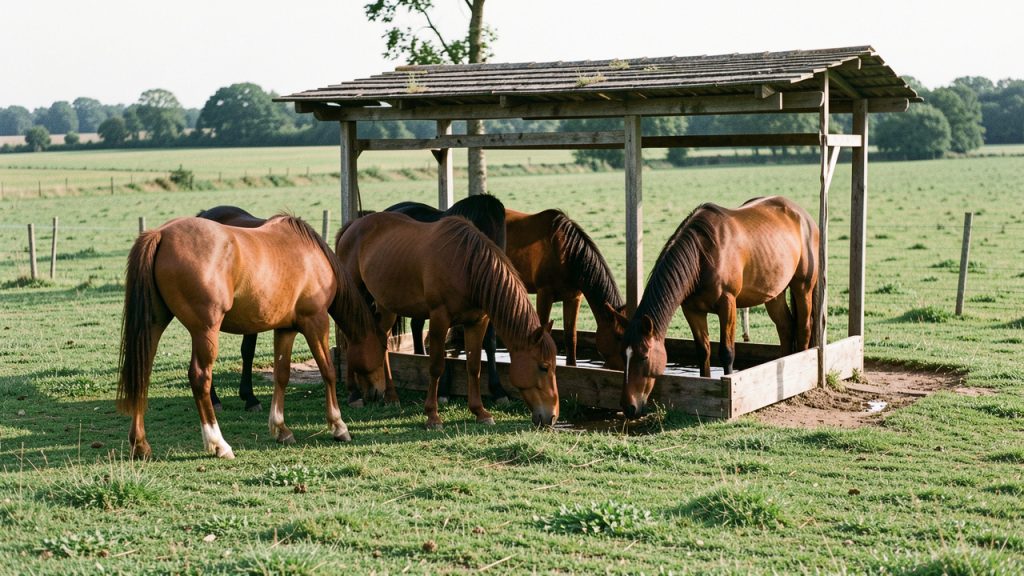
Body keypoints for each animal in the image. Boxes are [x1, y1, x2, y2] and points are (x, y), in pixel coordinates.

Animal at [117, 215, 387, 459]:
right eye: (381, 350)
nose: (381, 392)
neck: (313, 257)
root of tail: (160, 234)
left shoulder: (285, 329)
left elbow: (281, 375)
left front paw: (281, 429)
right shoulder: (316, 321)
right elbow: (328, 371)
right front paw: (339, 426)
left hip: (154, 325)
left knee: (142, 373)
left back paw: (140, 445)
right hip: (205, 330)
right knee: (200, 377)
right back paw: (219, 444)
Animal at [616, 196, 819, 418]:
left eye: (644, 357)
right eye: (622, 354)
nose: (628, 406)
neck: (702, 255)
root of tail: (803, 216)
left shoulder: (727, 304)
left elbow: (726, 352)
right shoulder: (692, 310)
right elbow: (703, 351)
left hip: (803, 286)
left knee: (804, 328)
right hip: (774, 294)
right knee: (786, 328)